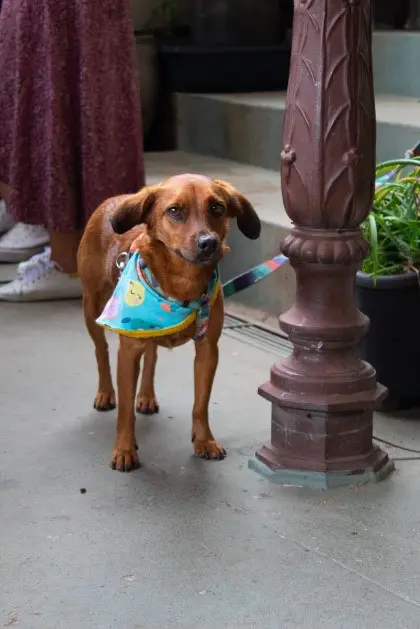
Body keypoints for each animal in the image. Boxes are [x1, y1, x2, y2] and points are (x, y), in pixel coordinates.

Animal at [76, 173, 260, 472]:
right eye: (174, 210)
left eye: (217, 208)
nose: (209, 242)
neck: (182, 283)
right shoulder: (127, 352)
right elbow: (125, 411)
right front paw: (124, 450)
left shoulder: (208, 351)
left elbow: (200, 404)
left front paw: (204, 441)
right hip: (91, 305)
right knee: (100, 350)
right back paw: (105, 392)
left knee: (151, 356)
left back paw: (146, 395)